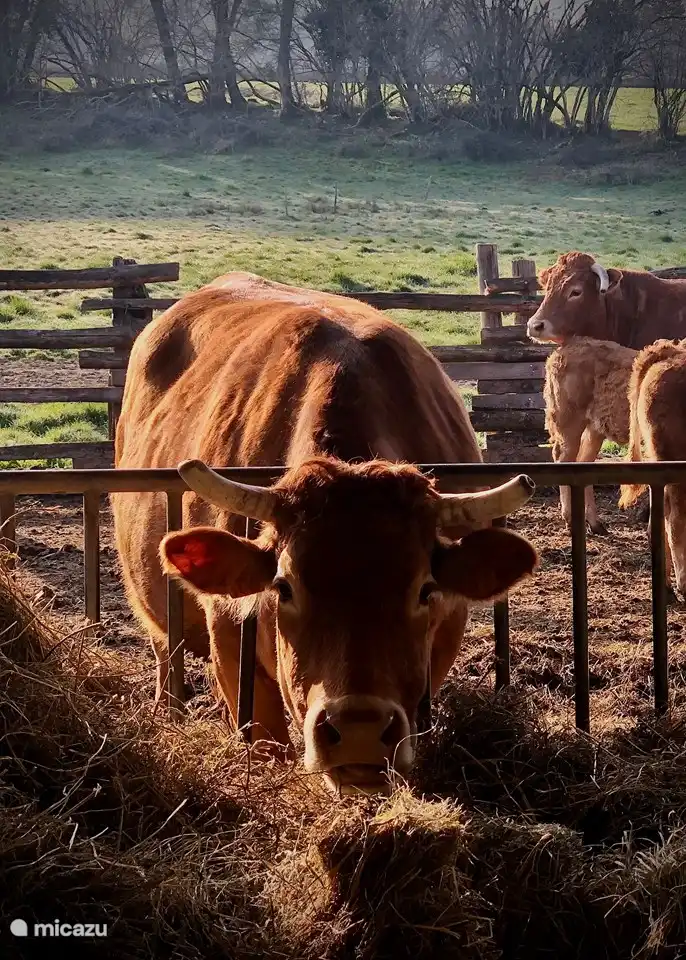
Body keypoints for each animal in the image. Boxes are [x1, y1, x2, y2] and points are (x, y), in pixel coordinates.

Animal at [112, 277, 538, 796]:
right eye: (284, 587)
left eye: (425, 590)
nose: (359, 730)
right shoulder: (229, 634)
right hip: (154, 609)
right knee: (164, 654)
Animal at [545, 337, 636, 534]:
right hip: (569, 421)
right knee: (563, 459)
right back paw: (570, 518)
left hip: (595, 428)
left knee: (582, 462)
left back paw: (595, 524)